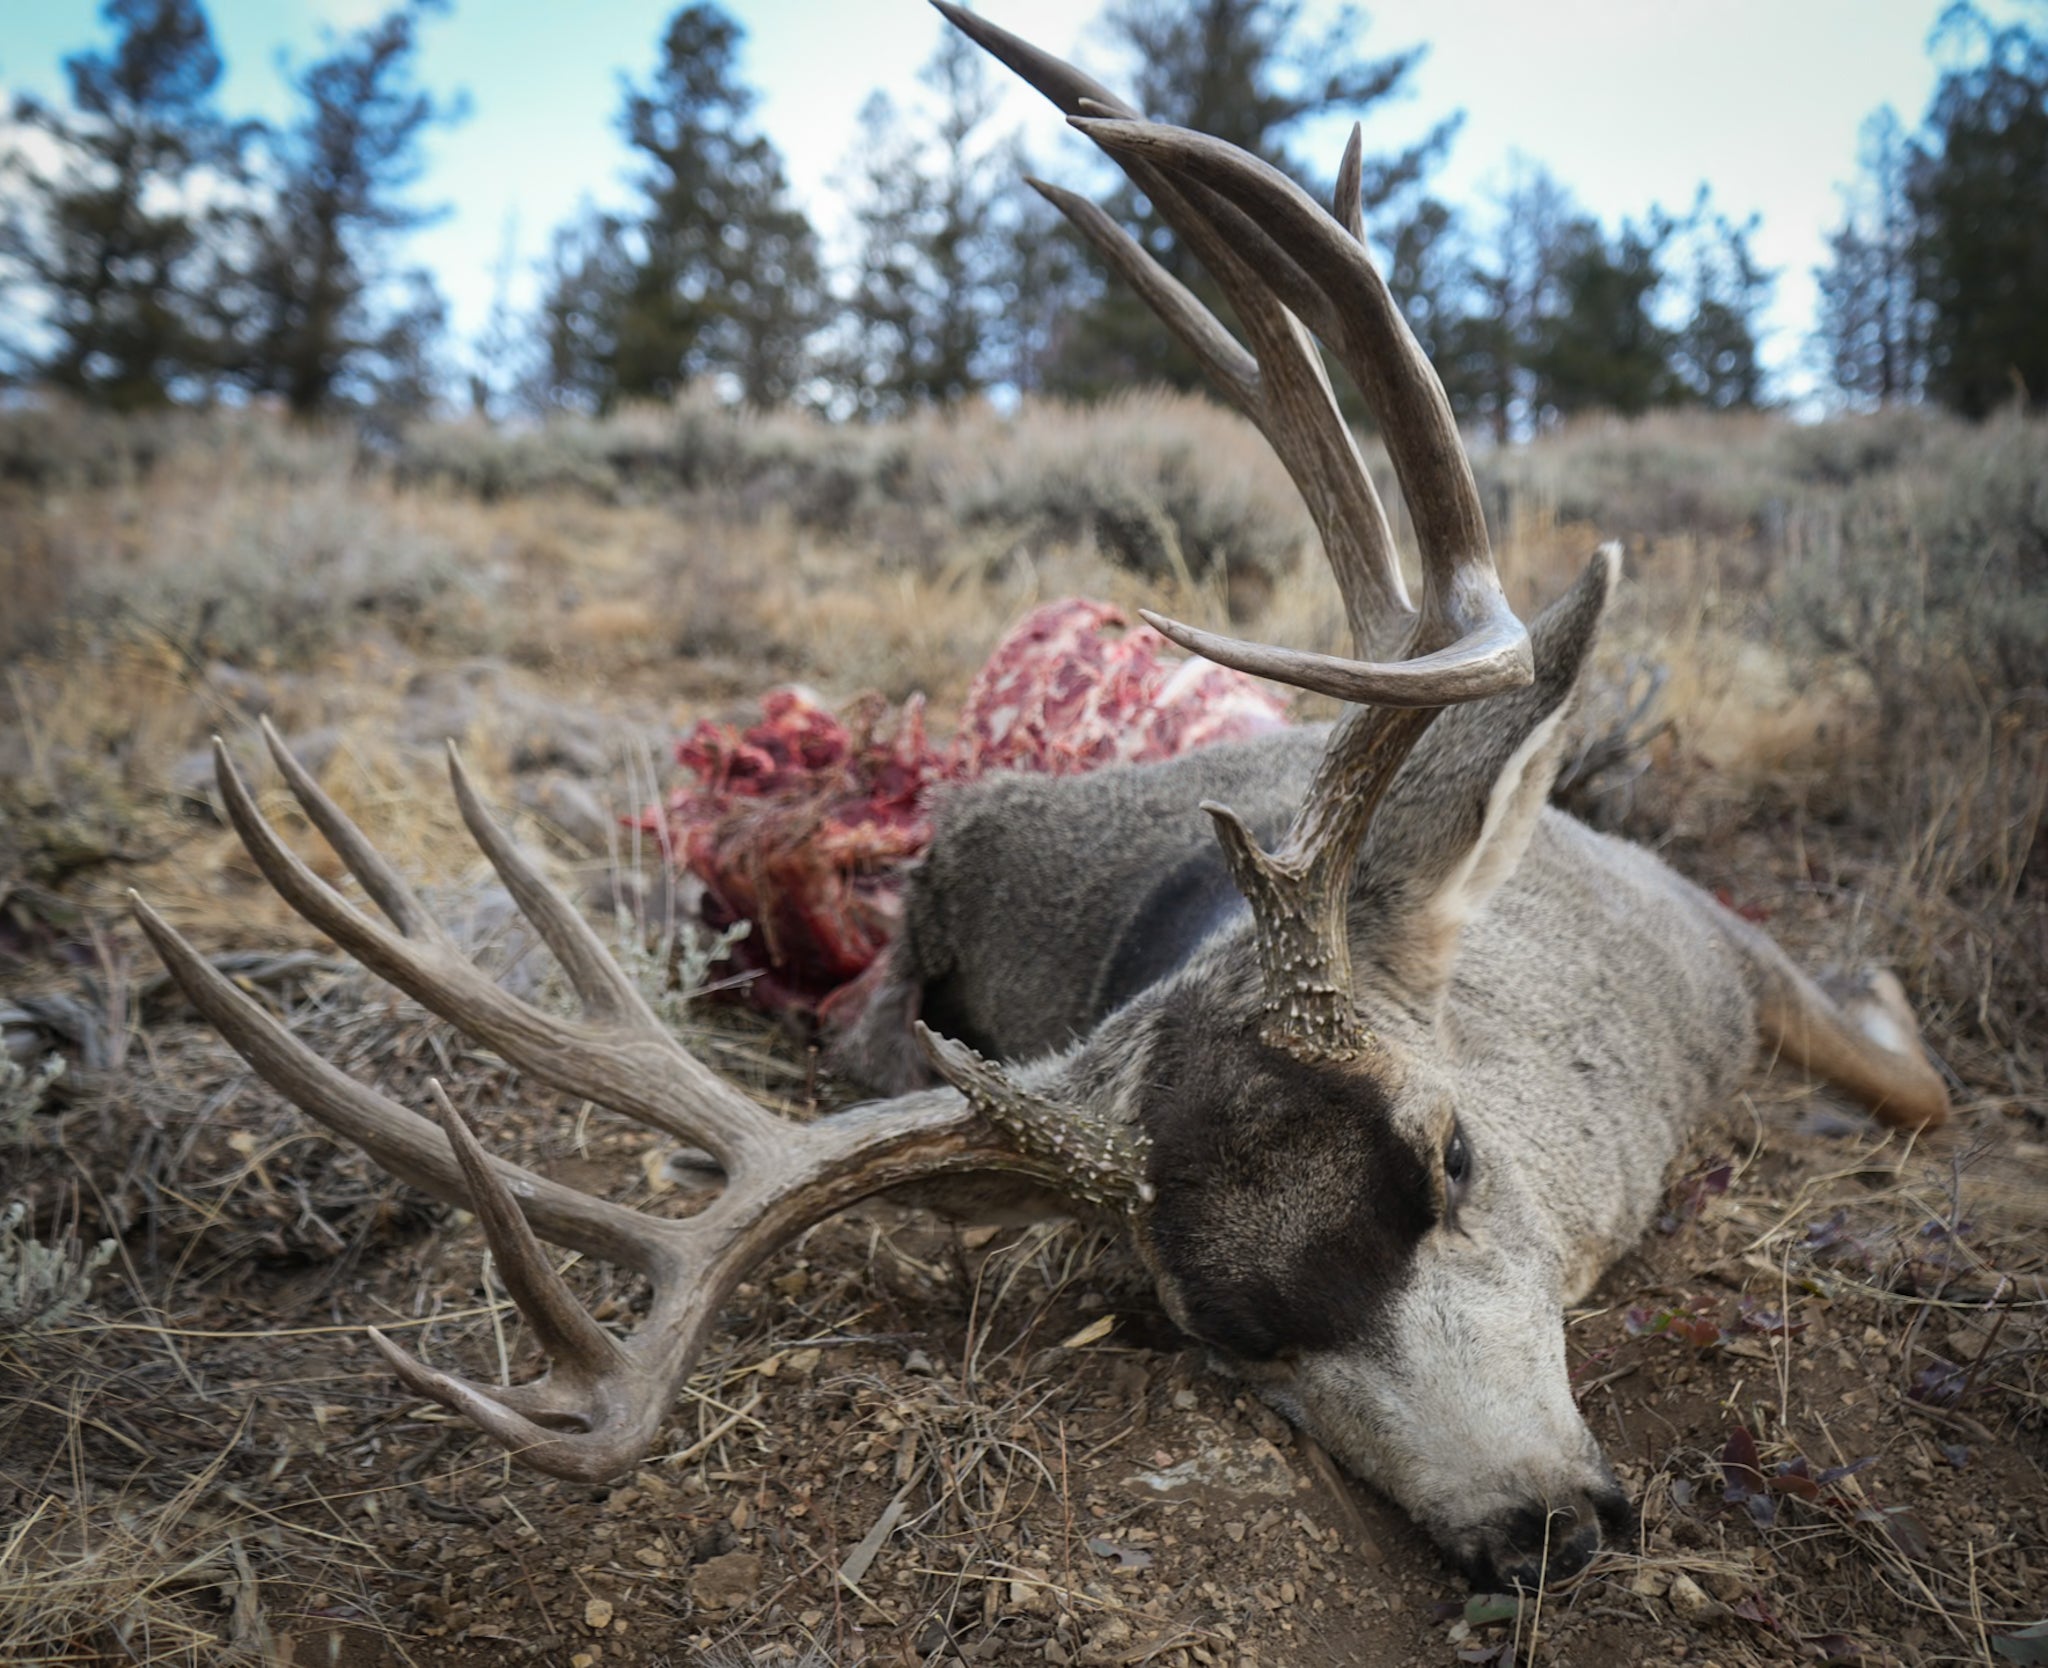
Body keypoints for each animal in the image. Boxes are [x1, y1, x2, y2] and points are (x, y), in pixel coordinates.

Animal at [128, 3, 1949, 1590]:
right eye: (1220, 1332)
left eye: (1451, 1156)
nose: (1540, 1527)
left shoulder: (1703, 928)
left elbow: (1908, 1078)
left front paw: (1876, 1003)